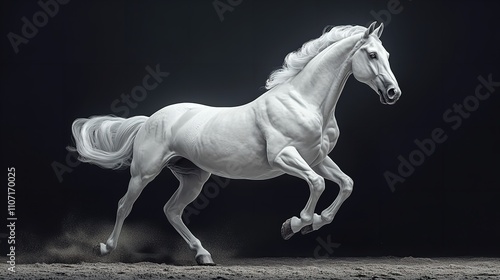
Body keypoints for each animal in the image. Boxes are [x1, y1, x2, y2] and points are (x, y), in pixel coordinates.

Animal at [68, 21, 400, 264]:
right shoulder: (284, 156)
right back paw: (104, 248)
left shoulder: (317, 158)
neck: (305, 102)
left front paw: (315, 222)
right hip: (144, 172)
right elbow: (317, 184)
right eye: (372, 55)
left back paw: (203, 255)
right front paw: (295, 225)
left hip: (194, 177)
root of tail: (150, 120)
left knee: (172, 210)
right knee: (125, 205)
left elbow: (346, 184)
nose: (393, 93)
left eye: (387, 55)